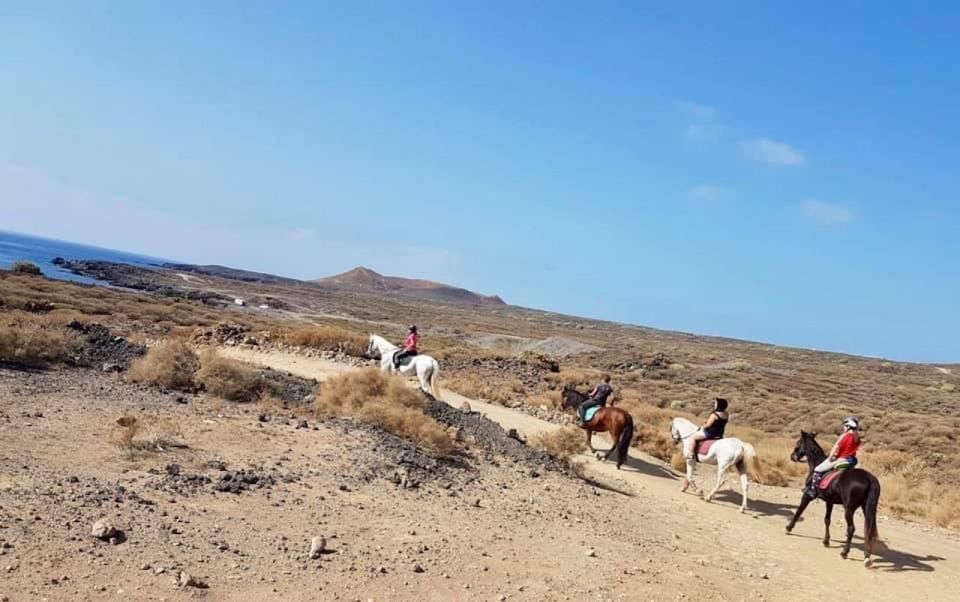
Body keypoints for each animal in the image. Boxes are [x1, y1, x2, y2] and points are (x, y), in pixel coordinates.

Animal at [784, 428, 880, 564]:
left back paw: (845, 552)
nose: (793, 456)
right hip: (866, 507)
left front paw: (788, 528)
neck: (816, 463)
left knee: (851, 528)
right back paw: (867, 557)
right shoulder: (829, 501)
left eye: (798, 443)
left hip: (849, 509)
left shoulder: (807, 496)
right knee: (869, 529)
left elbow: (799, 511)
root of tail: (869, 478)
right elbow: (827, 520)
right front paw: (826, 541)